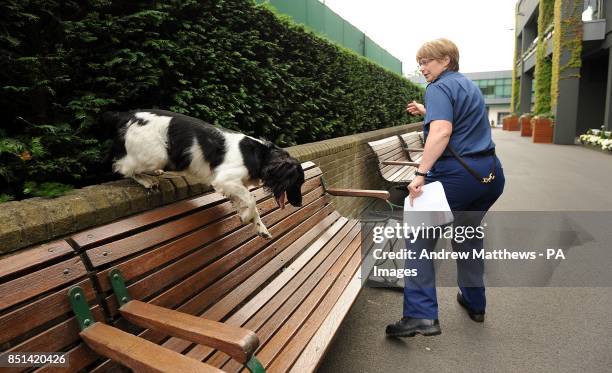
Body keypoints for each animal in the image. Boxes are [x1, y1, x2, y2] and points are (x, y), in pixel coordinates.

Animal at [106, 108, 306, 238]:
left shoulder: (235, 185)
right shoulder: (225, 180)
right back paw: (146, 179)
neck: (260, 154)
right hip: (157, 154)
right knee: (122, 167)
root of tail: (126, 114)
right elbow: (251, 200)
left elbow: (248, 203)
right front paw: (245, 217)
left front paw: (260, 228)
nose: (299, 203)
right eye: (297, 183)